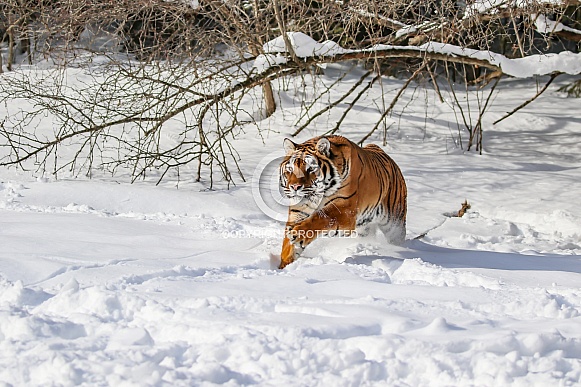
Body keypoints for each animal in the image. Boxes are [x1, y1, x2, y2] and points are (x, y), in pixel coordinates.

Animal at [278, 136, 406, 270]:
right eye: (290, 169)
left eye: (311, 169)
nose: (294, 187)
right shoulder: (298, 211)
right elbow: (287, 246)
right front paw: (284, 265)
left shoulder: (345, 210)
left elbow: (322, 218)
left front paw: (297, 234)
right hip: (364, 228)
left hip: (394, 224)